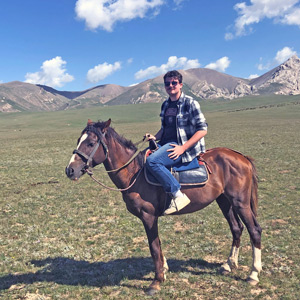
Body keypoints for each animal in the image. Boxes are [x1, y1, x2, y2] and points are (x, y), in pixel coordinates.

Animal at [64, 118, 262, 294]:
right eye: (78, 140)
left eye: (90, 143)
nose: (70, 170)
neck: (135, 172)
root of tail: (242, 157)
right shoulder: (151, 218)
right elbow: (157, 244)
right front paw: (164, 269)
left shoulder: (148, 216)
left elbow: (153, 247)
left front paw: (157, 281)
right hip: (224, 201)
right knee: (236, 228)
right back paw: (229, 264)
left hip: (240, 202)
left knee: (254, 230)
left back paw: (253, 274)